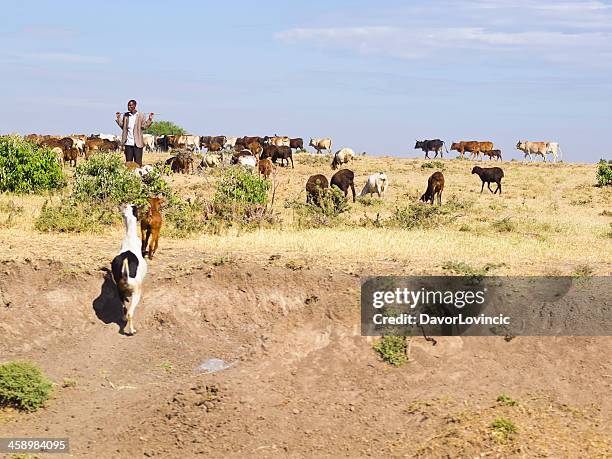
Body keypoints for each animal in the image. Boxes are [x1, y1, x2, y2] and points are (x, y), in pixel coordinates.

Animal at [112, 203, 148, 336]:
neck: (130, 236)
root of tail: (125, 276)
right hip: (136, 293)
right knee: (130, 313)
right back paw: (131, 330)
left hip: (120, 292)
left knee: (124, 311)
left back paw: (123, 319)